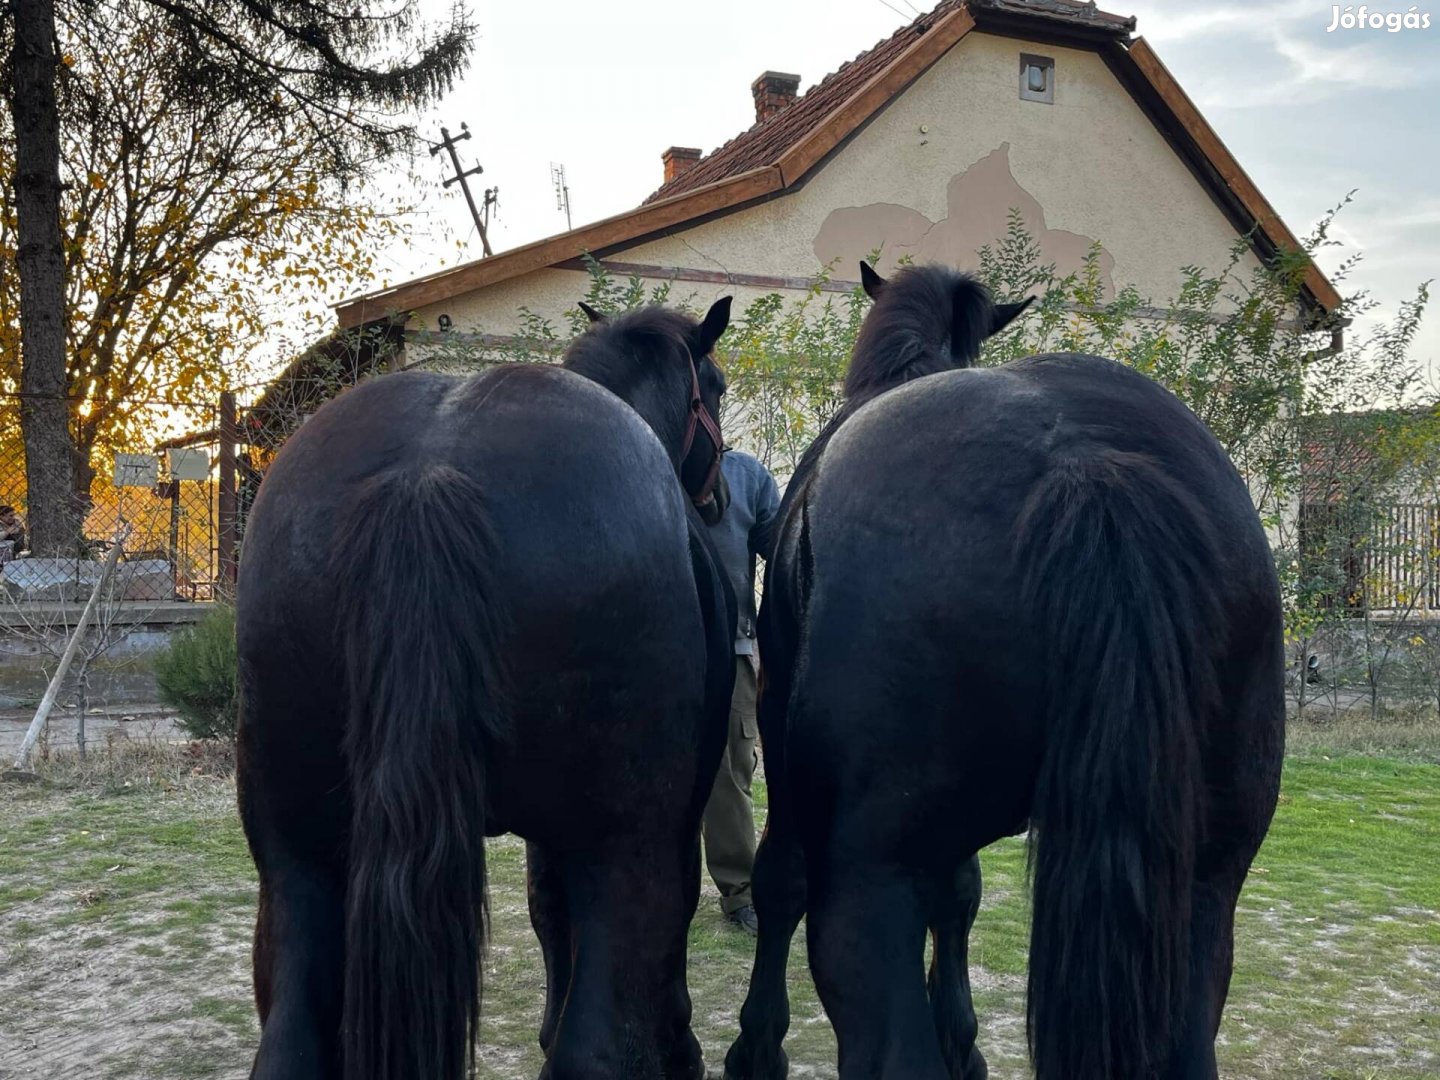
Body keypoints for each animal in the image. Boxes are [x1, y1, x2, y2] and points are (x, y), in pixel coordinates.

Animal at [240, 298, 737, 1080]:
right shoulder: (659, 825)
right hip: (623, 844)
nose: (718, 498)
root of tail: (426, 479)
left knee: (289, 1042)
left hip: (297, 857)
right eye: (713, 386)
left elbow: (545, 909)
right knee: (594, 1047)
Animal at [731, 266, 1284, 1080]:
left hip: (869, 877)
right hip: (1208, 875)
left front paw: (756, 1045)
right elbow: (960, 894)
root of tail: (1086, 470)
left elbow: (781, 882)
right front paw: (964, 1040)